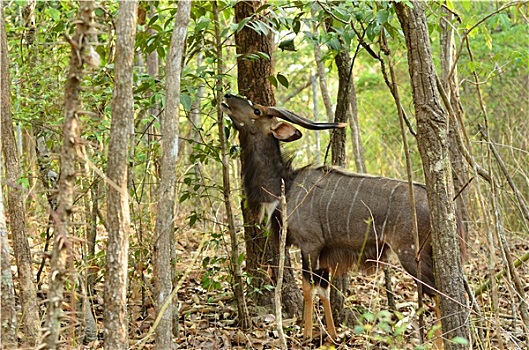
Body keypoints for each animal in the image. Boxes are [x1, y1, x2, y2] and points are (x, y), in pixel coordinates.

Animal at [219, 94, 458, 340]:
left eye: (256, 110)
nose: (227, 97)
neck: (285, 185)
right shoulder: (326, 253)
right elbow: (323, 288)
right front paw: (332, 336)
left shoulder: (310, 245)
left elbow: (308, 287)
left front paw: (307, 335)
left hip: (409, 253)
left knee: (436, 293)